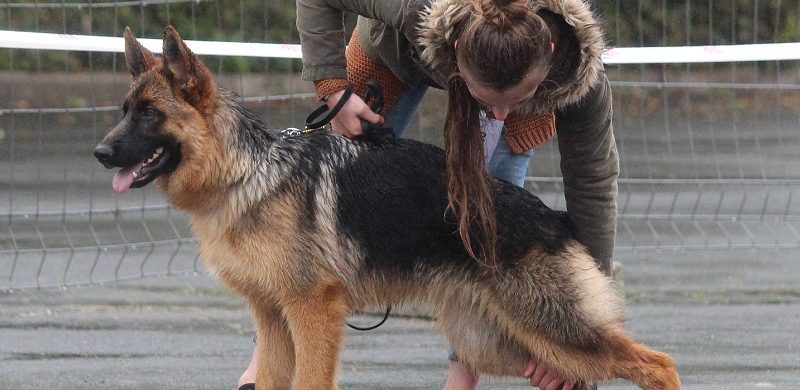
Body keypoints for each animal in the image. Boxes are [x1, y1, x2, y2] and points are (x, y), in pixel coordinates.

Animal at [95, 25, 680, 388]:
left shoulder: (313, 313)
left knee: (660, 365)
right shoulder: (273, 318)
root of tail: (555, 218)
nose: (99, 153)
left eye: (148, 115)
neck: (248, 172)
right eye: (124, 110)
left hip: (554, 331)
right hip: (500, 343)